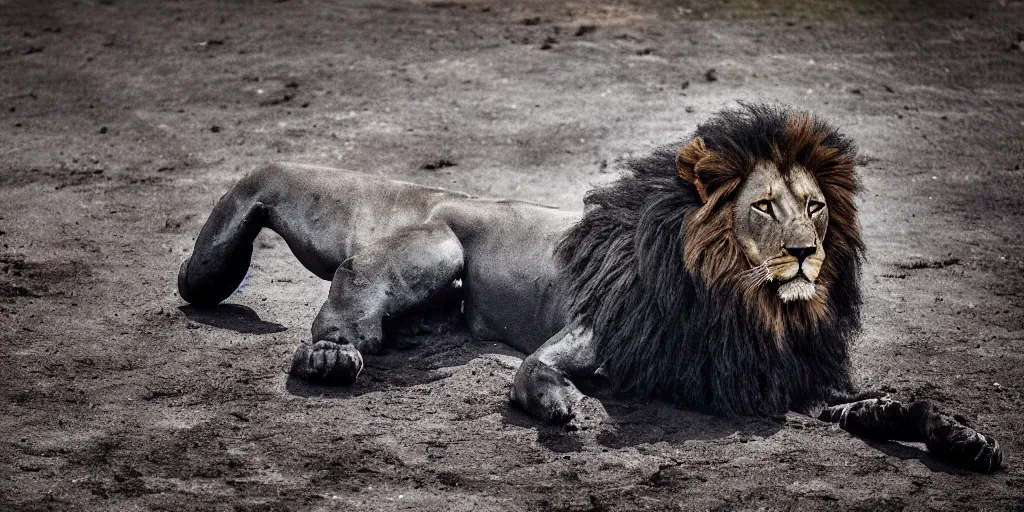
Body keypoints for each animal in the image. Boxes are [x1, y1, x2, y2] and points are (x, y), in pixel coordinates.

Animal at [178, 102, 999, 471]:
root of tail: (436, 192)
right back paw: (327, 356)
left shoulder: (794, 380)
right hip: (436, 244)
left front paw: (962, 436)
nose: (807, 253)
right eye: (764, 207)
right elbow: (533, 370)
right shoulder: (586, 332)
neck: (743, 308)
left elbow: (895, 400)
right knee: (346, 288)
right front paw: (562, 404)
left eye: (818, 207)